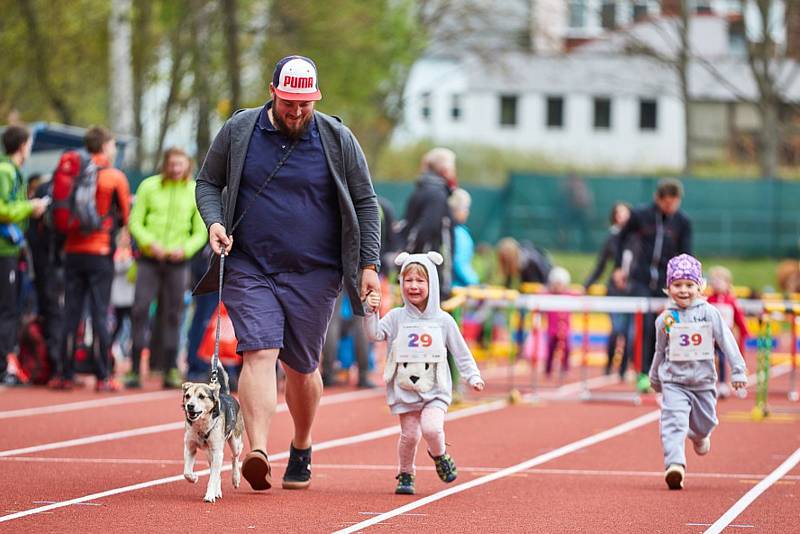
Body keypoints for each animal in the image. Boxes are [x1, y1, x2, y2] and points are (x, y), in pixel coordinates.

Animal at [181, 364, 244, 502]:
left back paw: (235, 478)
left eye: (201, 396)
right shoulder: (190, 447)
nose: (190, 406)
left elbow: (213, 478)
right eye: (187, 396)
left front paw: (209, 496)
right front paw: (194, 477)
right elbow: (186, 472)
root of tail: (225, 394)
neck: (201, 424)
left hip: (235, 442)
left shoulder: (217, 452)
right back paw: (218, 491)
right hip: (209, 453)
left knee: (234, 457)